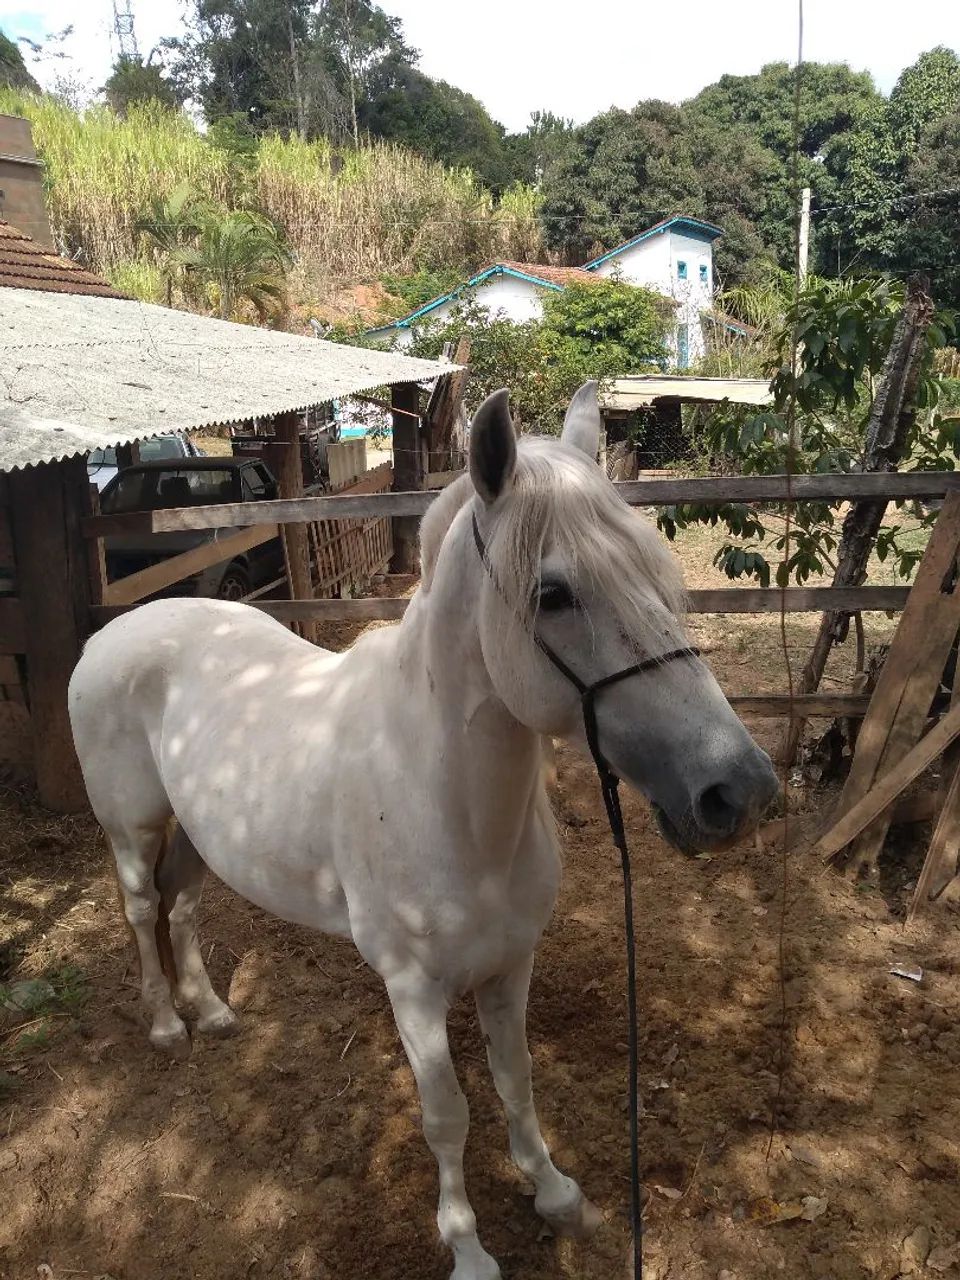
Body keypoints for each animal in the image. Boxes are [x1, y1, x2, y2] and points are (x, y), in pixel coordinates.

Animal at [68, 382, 778, 1280]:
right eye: (554, 594)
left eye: (659, 575)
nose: (739, 790)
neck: (450, 807)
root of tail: (114, 630)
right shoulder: (413, 992)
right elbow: (448, 1115)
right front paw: (467, 1246)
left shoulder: (510, 967)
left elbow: (516, 1080)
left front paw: (553, 1192)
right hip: (132, 829)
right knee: (138, 910)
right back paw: (166, 1024)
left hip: (199, 834)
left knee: (183, 909)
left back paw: (213, 1011)